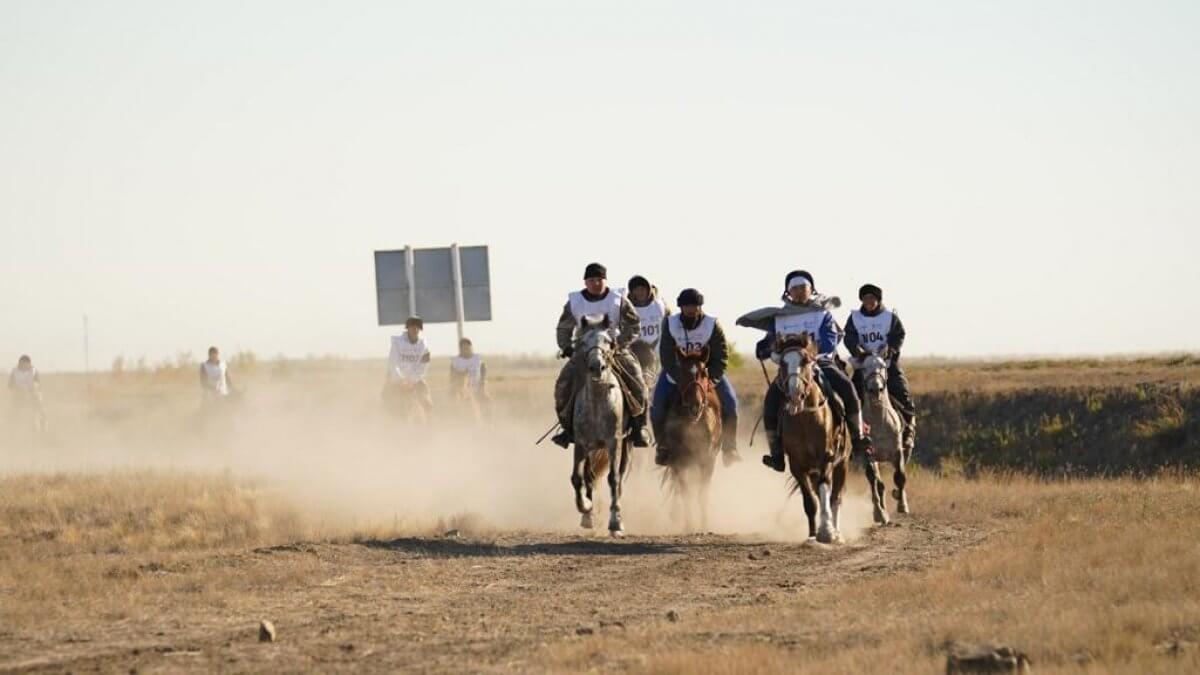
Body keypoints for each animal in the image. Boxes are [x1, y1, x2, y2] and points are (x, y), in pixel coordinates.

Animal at [566, 314, 633, 535]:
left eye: (609, 342)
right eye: (583, 342)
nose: (597, 367)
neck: (597, 401)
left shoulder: (614, 442)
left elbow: (613, 478)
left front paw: (615, 523)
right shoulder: (581, 444)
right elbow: (577, 478)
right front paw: (586, 507)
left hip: (626, 445)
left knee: (619, 477)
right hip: (592, 449)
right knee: (589, 475)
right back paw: (588, 516)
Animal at [657, 345, 720, 530]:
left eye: (704, 373)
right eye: (682, 373)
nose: (694, 405)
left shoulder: (707, 460)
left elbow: (702, 493)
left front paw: (704, 526)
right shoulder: (678, 461)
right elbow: (685, 492)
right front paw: (689, 526)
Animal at [777, 331, 854, 540]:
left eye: (805, 360)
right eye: (782, 363)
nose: (795, 394)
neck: (806, 419)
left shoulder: (826, 459)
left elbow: (825, 491)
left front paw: (827, 531)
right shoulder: (797, 466)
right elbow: (810, 502)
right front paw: (813, 534)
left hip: (842, 464)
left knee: (836, 497)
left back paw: (837, 532)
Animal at [854, 353, 907, 521]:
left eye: (883, 366)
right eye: (864, 368)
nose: (875, 389)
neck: (880, 422)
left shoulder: (897, 452)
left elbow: (900, 476)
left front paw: (902, 504)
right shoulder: (868, 454)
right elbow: (874, 481)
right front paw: (879, 513)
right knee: (879, 484)